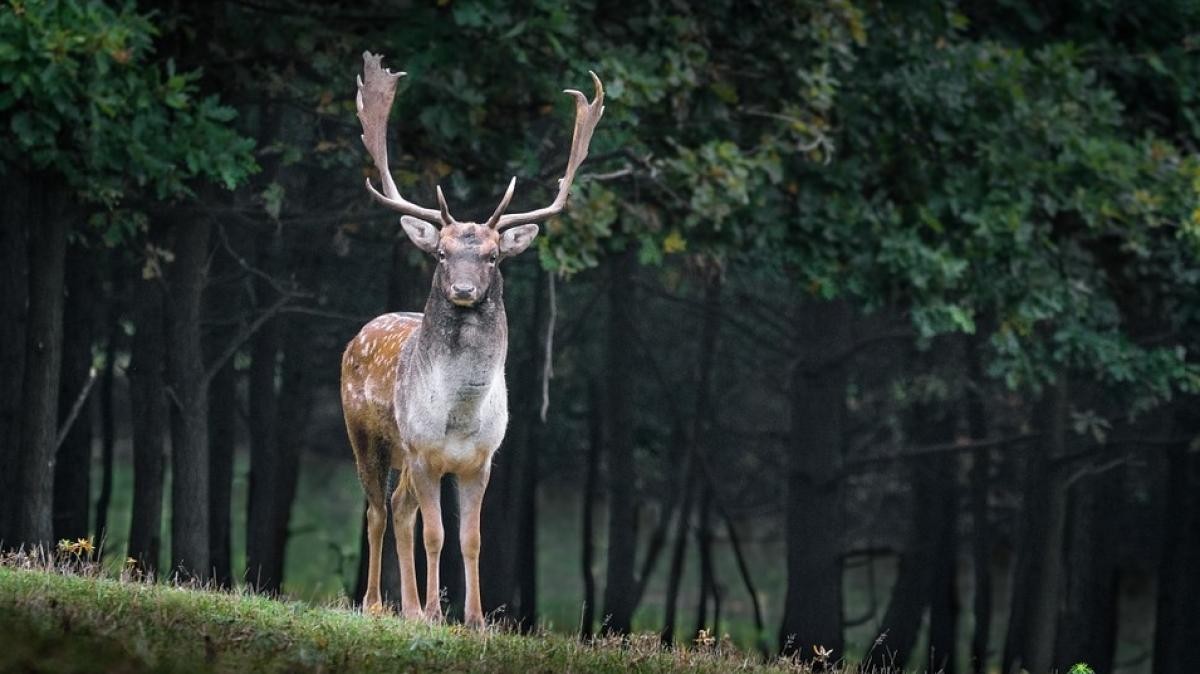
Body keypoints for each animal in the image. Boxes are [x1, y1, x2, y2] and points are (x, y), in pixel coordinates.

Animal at [341, 52, 603, 628]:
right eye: (441, 253)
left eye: (492, 256)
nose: (463, 289)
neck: (459, 416)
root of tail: (360, 334)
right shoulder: (423, 452)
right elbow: (436, 535)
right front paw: (436, 613)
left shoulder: (481, 460)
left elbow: (471, 538)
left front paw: (475, 618)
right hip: (365, 435)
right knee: (376, 510)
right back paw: (376, 604)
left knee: (399, 510)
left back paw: (407, 608)